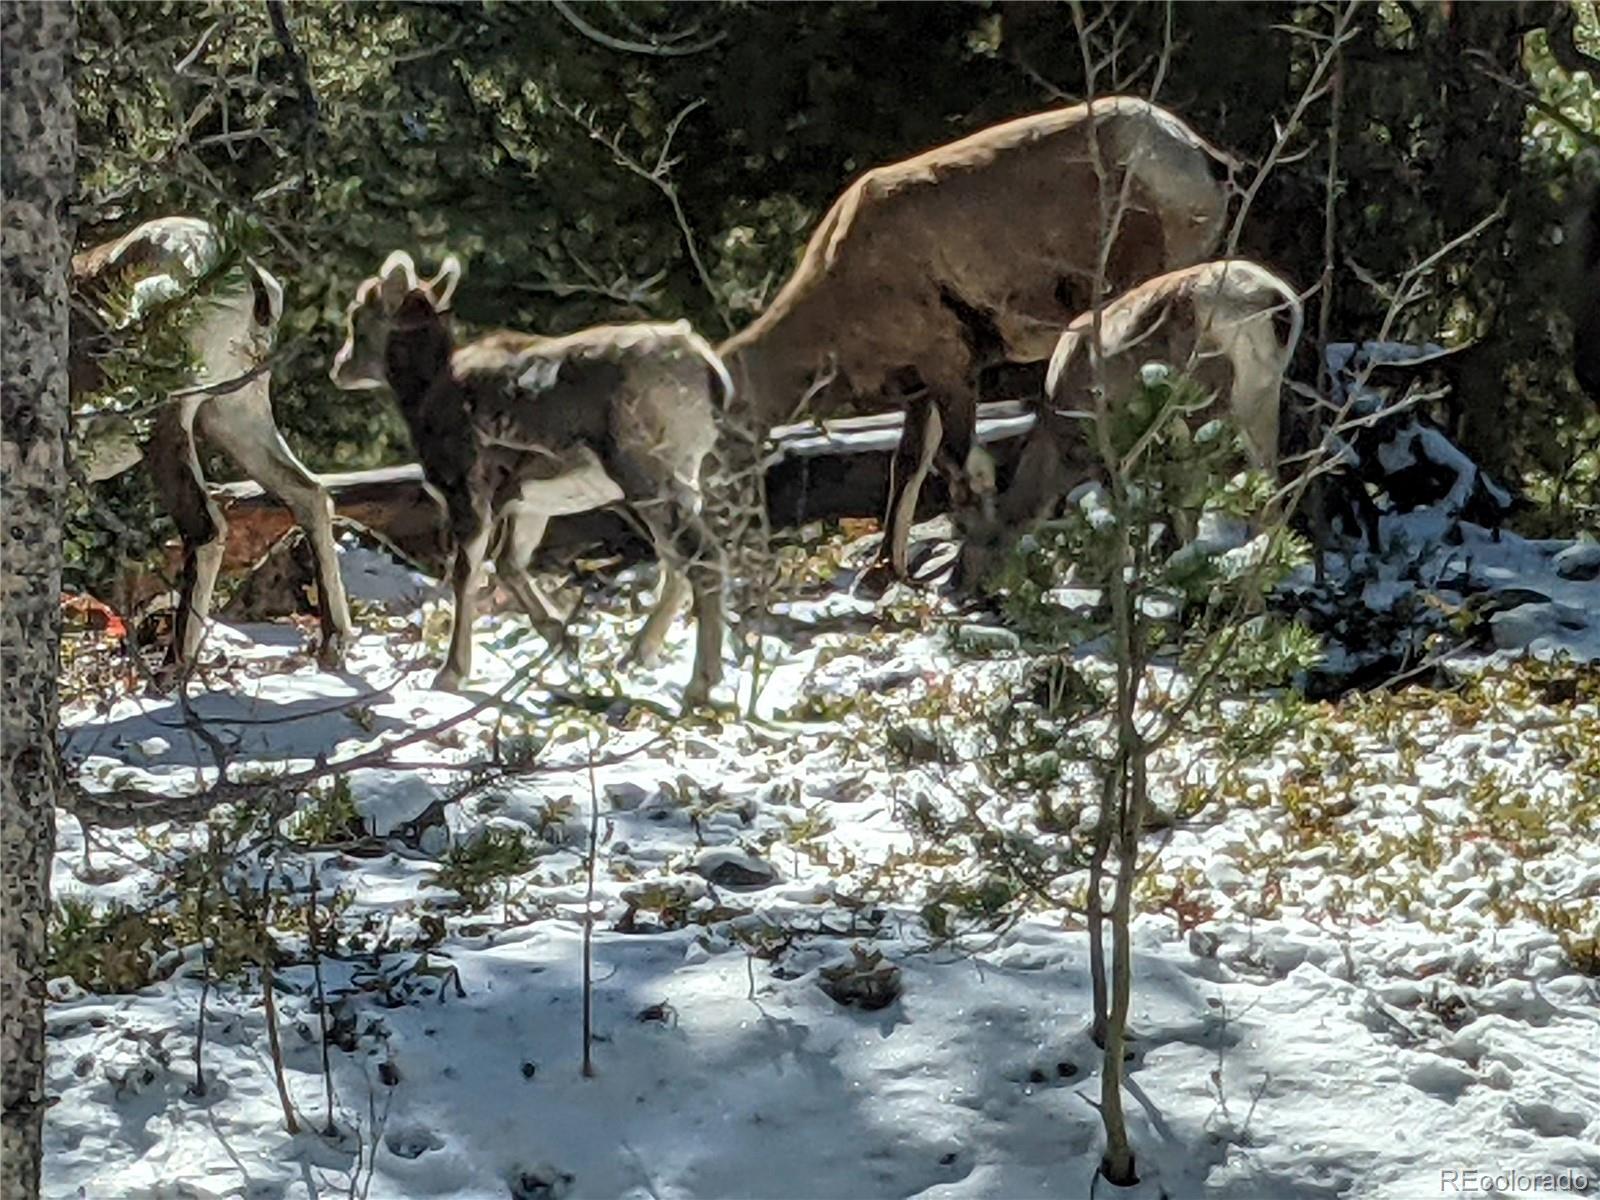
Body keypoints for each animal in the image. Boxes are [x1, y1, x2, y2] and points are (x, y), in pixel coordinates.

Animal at [70, 214, 352, 668]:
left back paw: (173, 669)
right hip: (233, 412)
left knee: (205, 529)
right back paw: (333, 644)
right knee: (308, 493)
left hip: (168, 413)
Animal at [334, 251, 729, 704]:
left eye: (359, 317)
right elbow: (511, 565)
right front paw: (563, 639)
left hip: (647, 479)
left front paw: (450, 674)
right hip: (679, 483)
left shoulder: (469, 496)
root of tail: (705, 367)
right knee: (675, 561)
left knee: (701, 559)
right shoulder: (531, 505)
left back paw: (699, 685)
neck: (429, 392)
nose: (338, 368)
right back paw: (637, 656)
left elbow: (466, 576)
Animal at [720, 95, 1228, 582]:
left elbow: (962, 467)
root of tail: (1195, 156)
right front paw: (883, 573)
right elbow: (909, 464)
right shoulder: (920, 390)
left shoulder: (951, 370)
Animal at [953, 260, 1305, 579]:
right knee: (1270, 487)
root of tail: (1278, 299)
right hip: (1261, 397)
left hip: (1206, 391)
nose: (960, 582)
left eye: (968, 528)